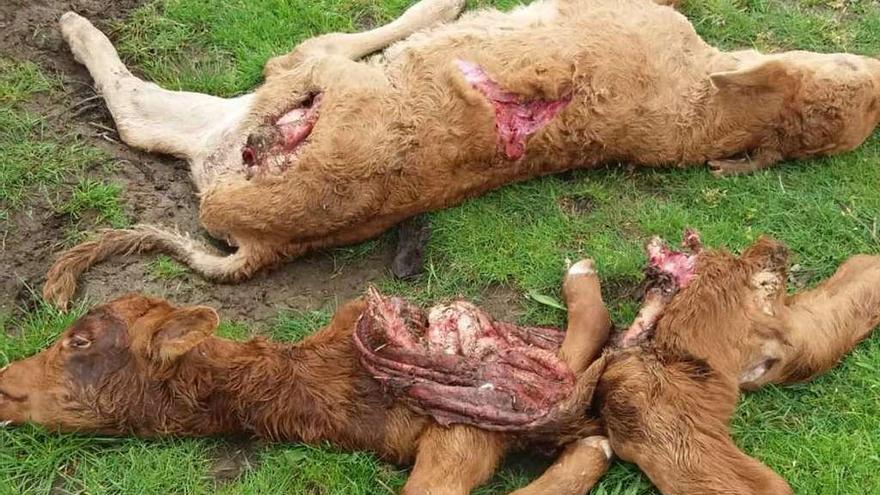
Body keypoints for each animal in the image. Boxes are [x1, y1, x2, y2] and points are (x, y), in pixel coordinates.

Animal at [43, 0, 880, 306]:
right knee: (148, 120)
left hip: (294, 86)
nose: (876, 64)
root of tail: (268, 238)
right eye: (861, 83)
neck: (714, 110)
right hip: (227, 125)